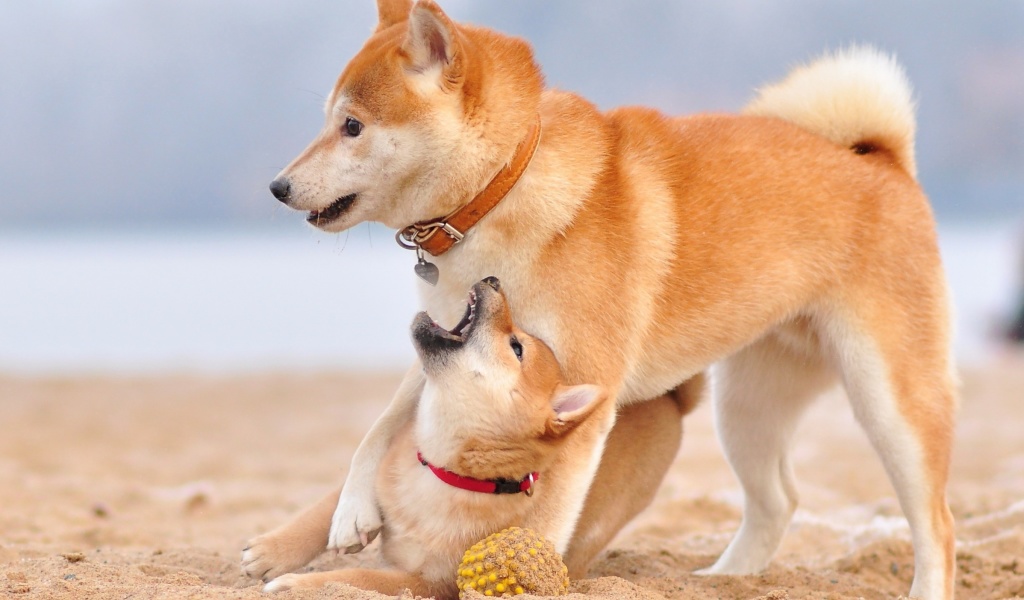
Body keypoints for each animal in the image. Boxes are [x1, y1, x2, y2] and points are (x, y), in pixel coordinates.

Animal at [247, 2, 958, 593]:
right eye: (330, 121)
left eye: (352, 126)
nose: (277, 187)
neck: (502, 190)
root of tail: (881, 161)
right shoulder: (450, 335)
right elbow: (379, 428)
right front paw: (347, 513)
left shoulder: (577, 388)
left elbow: (545, 514)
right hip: (747, 408)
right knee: (777, 500)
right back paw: (721, 579)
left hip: (889, 402)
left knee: (937, 524)